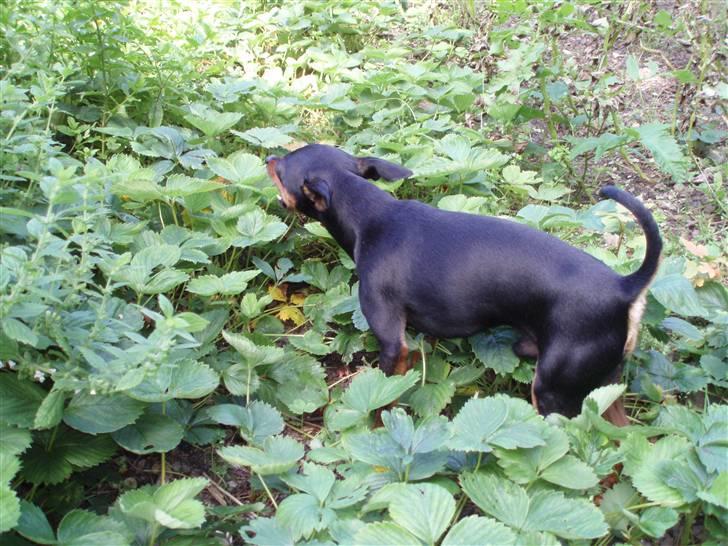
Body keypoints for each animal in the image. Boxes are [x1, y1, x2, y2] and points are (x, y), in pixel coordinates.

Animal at [264, 143, 664, 420]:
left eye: (281, 170)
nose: (268, 157)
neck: (371, 217)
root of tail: (624, 288)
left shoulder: (392, 342)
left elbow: (381, 397)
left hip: (553, 391)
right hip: (604, 387)